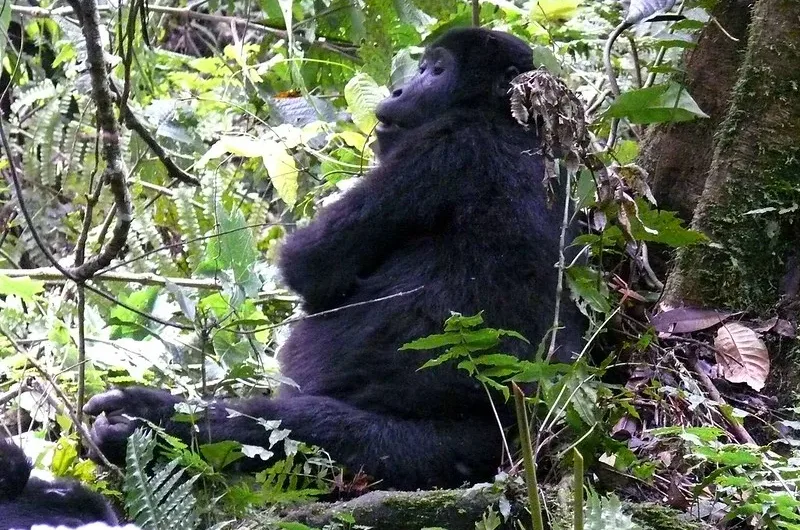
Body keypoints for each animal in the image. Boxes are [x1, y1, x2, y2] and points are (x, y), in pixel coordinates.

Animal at [79, 26, 580, 490]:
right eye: (421, 68)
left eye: (435, 71)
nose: (398, 91)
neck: (502, 117)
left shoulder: (443, 144)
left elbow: (309, 267)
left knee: (299, 428)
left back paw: (150, 423)